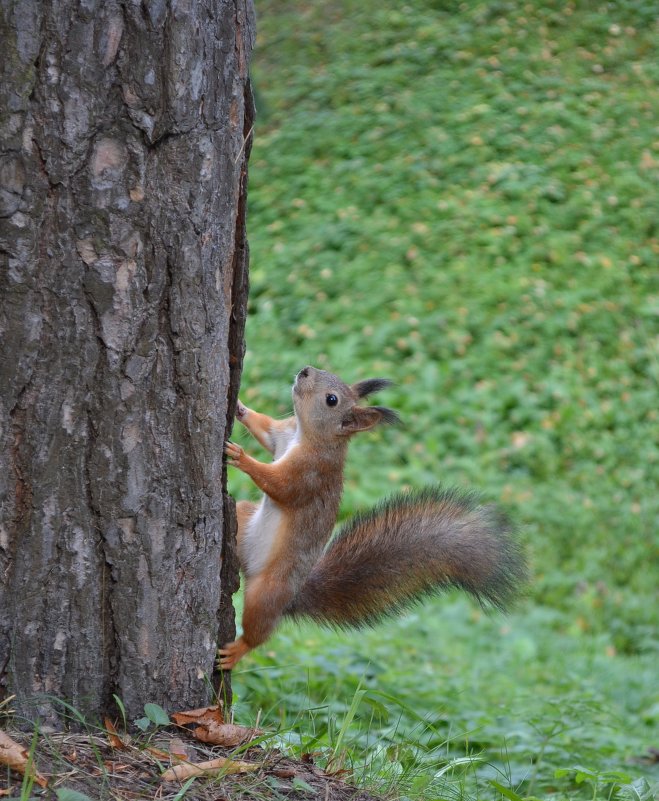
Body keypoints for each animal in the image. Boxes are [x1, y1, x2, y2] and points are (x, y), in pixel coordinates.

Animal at [219, 366, 528, 664]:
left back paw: (237, 651)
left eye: (332, 400)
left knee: (259, 631)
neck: (304, 436)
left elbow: (278, 484)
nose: (305, 370)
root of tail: (293, 596)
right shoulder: (281, 435)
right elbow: (265, 429)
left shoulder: (311, 475)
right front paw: (240, 407)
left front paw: (242, 457)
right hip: (245, 519)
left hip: (268, 592)